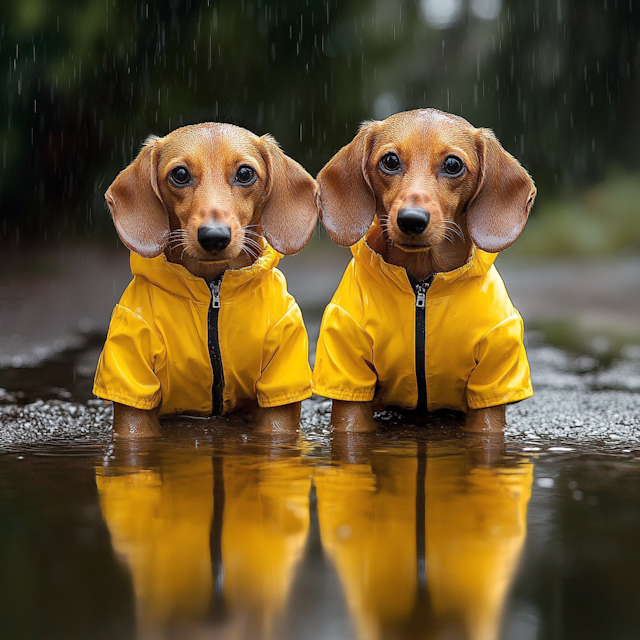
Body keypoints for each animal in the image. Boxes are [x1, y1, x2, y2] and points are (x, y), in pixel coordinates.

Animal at [92, 122, 318, 438]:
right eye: (180, 174)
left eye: (245, 173)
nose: (214, 236)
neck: (214, 290)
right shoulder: (133, 392)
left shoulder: (279, 393)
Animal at [312, 107, 536, 432]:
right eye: (390, 161)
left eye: (453, 164)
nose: (411, 219)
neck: (422, 283)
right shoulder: (349, 379)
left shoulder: (492, 383)